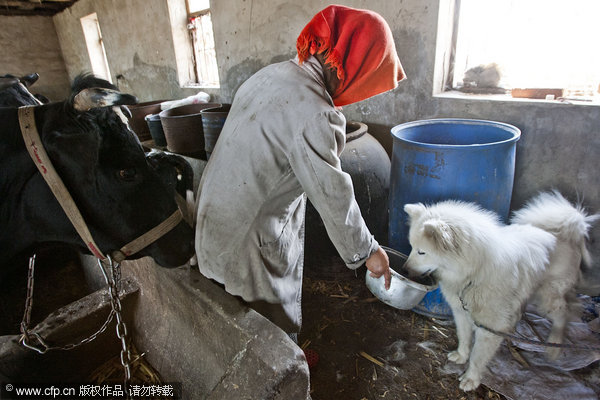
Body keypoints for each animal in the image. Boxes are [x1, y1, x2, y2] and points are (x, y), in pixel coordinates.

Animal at [404, 191, 596, 390]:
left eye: (421, 252)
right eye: (412, 247)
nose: (404, 270)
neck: (474, 273)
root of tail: (567, 234)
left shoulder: (489, 327)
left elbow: (478, 356)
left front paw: (471, 379)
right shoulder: (461, 312)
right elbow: (464, 338)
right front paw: (461, 356)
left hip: (547, 299)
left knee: (563, 314)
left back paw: (554, 344)